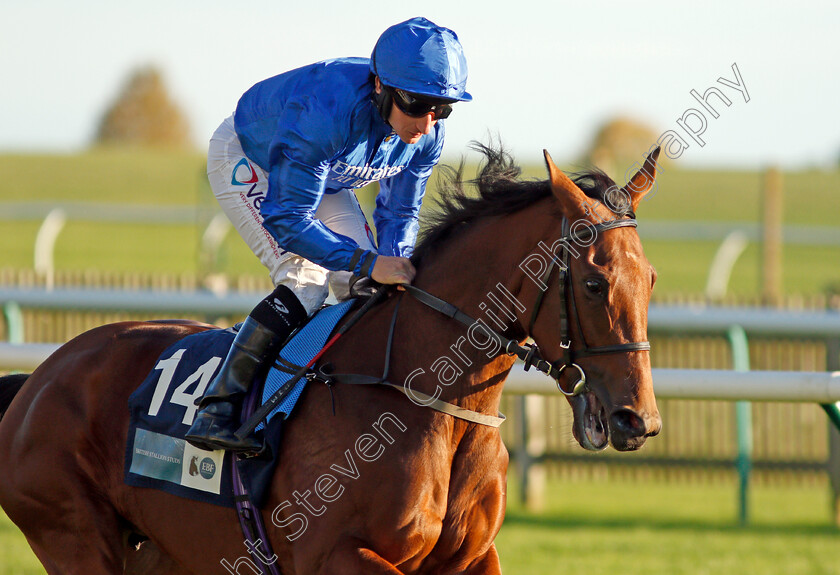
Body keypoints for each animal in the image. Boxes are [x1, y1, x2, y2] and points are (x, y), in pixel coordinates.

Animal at [0, 146, 664, 572]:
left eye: (651, 279)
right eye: (595, 283)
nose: (638, 420)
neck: (428, 403)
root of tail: (40, 378)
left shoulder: (474, 558)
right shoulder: (335, 553)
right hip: (75, 537)